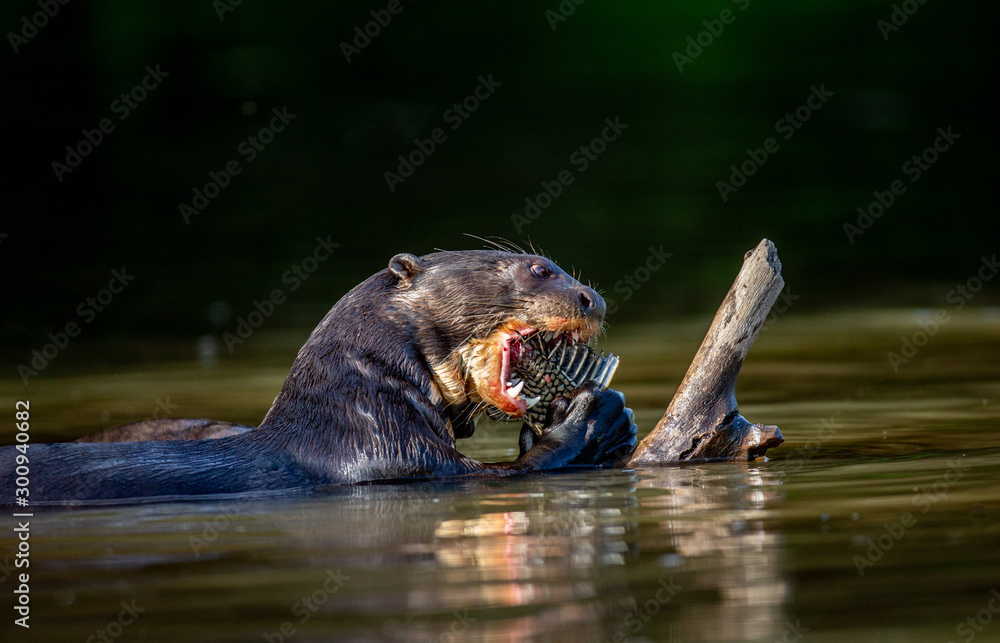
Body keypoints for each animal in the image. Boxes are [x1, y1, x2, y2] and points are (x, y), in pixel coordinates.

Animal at [2, 250, 637, 503]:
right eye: (539, 269)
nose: (594, 298)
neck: (355, 407)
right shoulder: (389, 456)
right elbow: (509, 472)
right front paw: (597, 416)